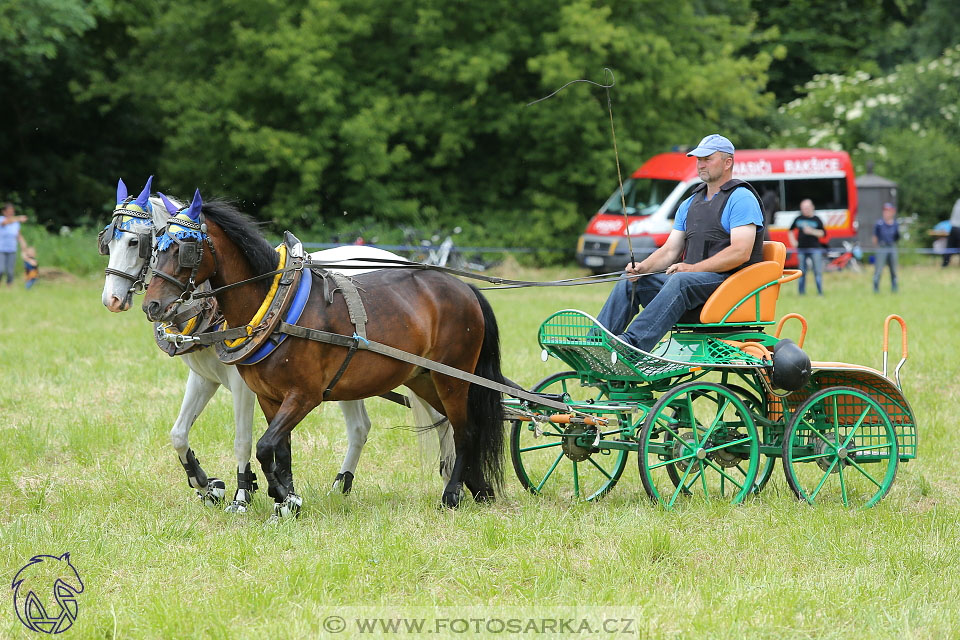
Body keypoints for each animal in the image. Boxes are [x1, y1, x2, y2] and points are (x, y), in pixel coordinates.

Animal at [101, 178, 454, 512]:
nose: (112, 300)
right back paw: (343, 486)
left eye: (136, 242)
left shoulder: (244, 384)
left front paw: (242, 495)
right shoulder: (203, 377)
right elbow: (178, 434)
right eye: (108, 241)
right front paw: (207, 485)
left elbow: (242, 440)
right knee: (365, 427)